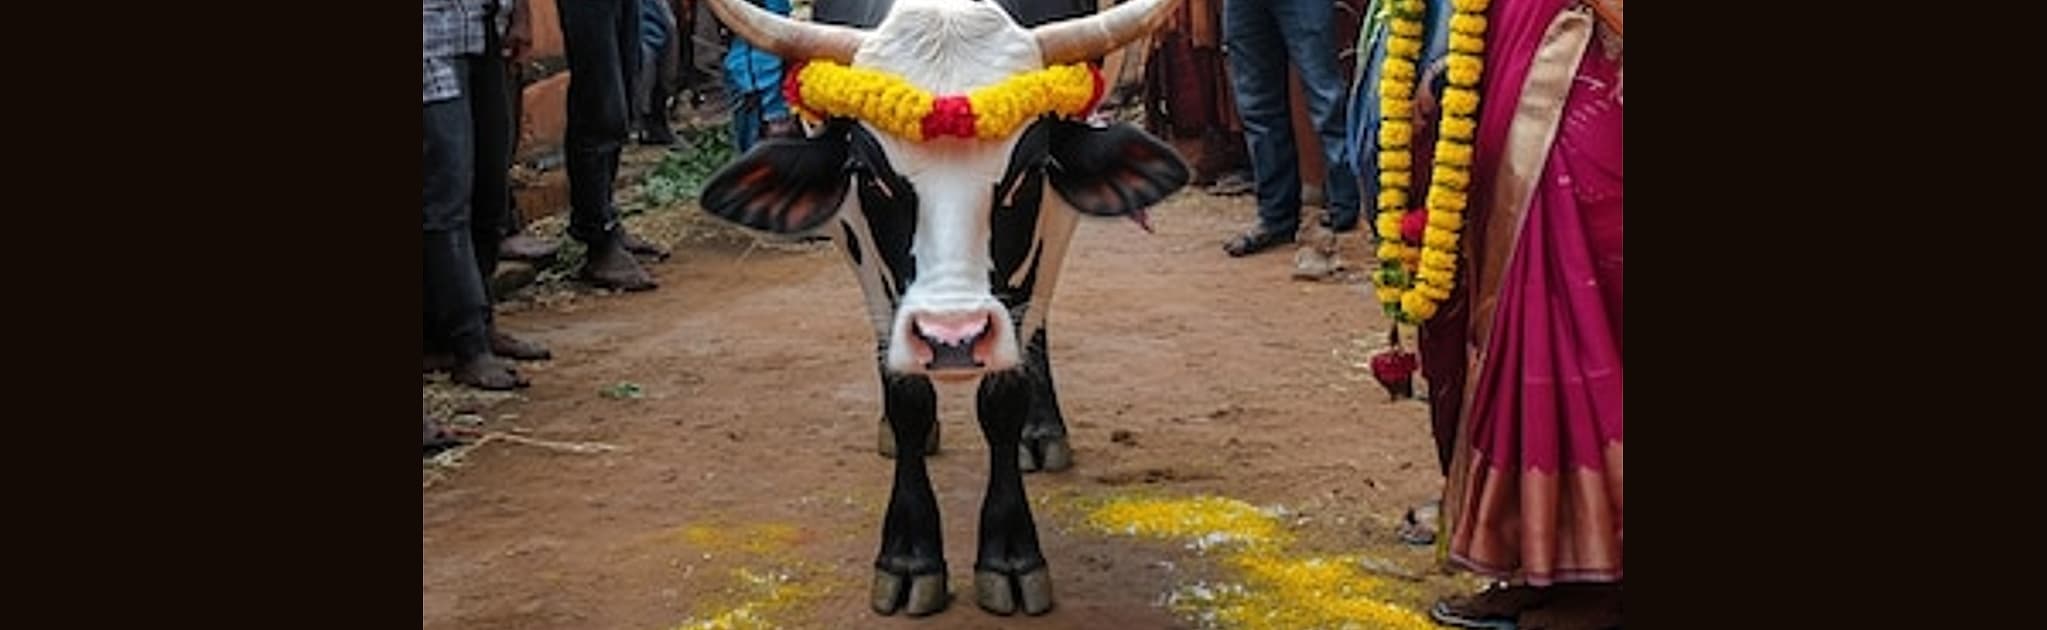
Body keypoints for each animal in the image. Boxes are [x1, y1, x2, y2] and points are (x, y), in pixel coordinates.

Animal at [698, 0, 1188, 617]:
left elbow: (1004, 394)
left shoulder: (1052, 216)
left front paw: (1010, 557)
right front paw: (909, 558)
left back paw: (1042, 432)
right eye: (872, 178)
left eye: (1026, 175)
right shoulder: (858, 241)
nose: (952, 337)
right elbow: (906, 394)